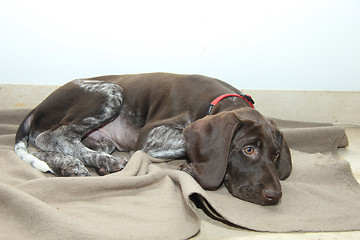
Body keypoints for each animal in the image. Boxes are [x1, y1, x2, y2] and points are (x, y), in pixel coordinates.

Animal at [14, 72, 292, 205]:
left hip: (104, 139)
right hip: (111, 91)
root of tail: (37, 107)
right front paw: (194, 168)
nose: (275, 195)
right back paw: (98, 163)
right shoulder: (149, 135)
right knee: (52, 136)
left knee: (45, 146)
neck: (215, 102)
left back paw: (73, 165)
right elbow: (185, 142)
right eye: (248, 150)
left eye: (276, 155)